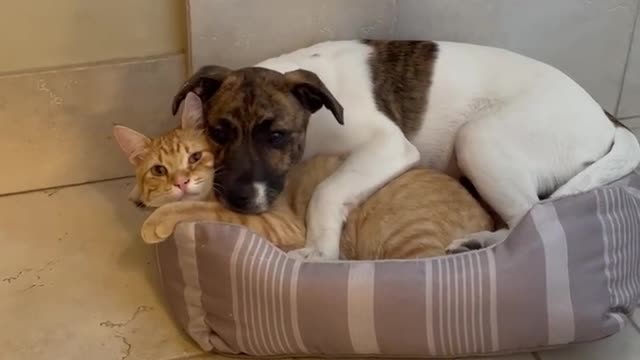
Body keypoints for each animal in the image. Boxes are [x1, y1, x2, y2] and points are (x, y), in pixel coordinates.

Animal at [115, 93, 492, 258]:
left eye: (194, 158)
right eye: (159, 170)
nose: (180, 182)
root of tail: (485, 214)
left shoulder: (272, 223)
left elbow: (202, 210)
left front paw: (156, 221)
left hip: (408, 239)